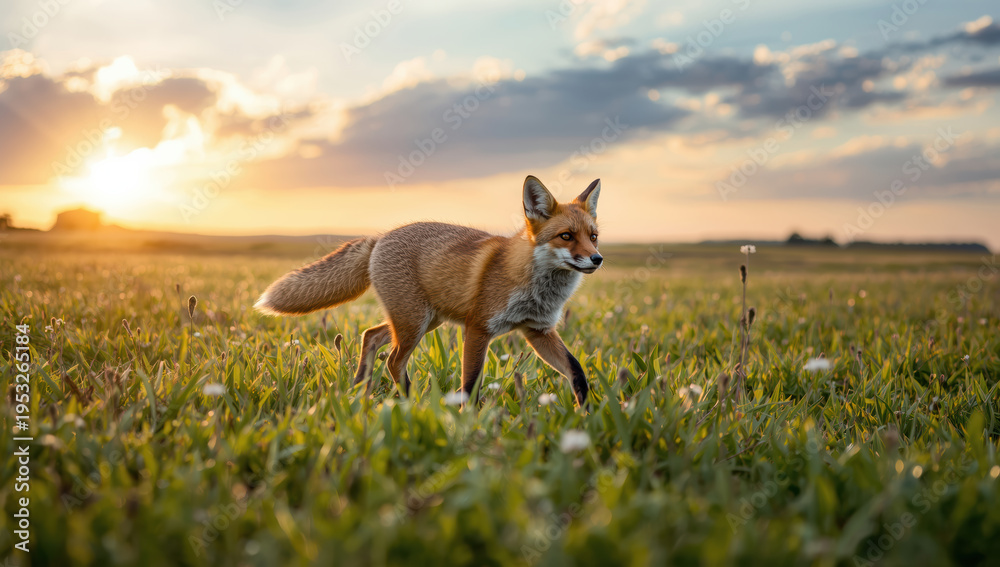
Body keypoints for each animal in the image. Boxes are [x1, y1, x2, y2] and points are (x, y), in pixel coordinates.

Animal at [254, 175, 603, 406]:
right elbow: (470, 384)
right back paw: (412, 404)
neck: (534, 286)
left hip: (423, 321)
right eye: (566, 236)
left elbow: (576, 370)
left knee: (371, 336)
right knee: (393, 361)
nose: (597, 259)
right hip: (415, 323)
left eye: (593, 236)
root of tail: (379, 237)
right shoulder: (478, 328)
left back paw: (360, 390)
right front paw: (467, 424)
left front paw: (585, 412)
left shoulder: (538, 331)